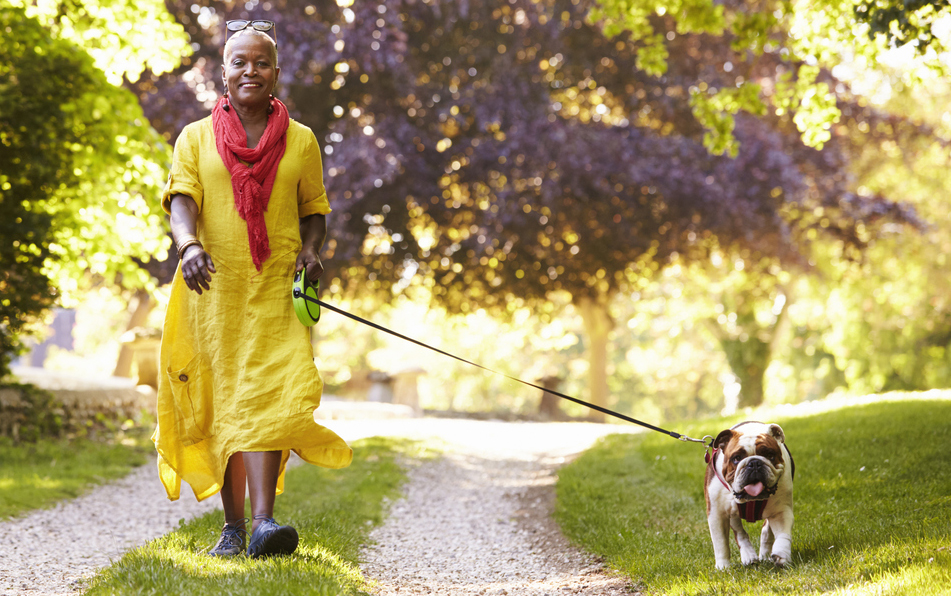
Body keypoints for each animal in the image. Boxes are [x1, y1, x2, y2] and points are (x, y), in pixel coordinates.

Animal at [708, 422, 796, 572]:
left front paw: (781, 554)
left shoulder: (781, 511)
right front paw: (723, 567)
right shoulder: (716, 515)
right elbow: (721, 543)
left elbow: (783, 535)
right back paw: (748, 555)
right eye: (736, 458)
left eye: (770, 455)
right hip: (732, 515)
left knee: (766, 531)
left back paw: (765, 556)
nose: (754, 463)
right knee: (739, 532)